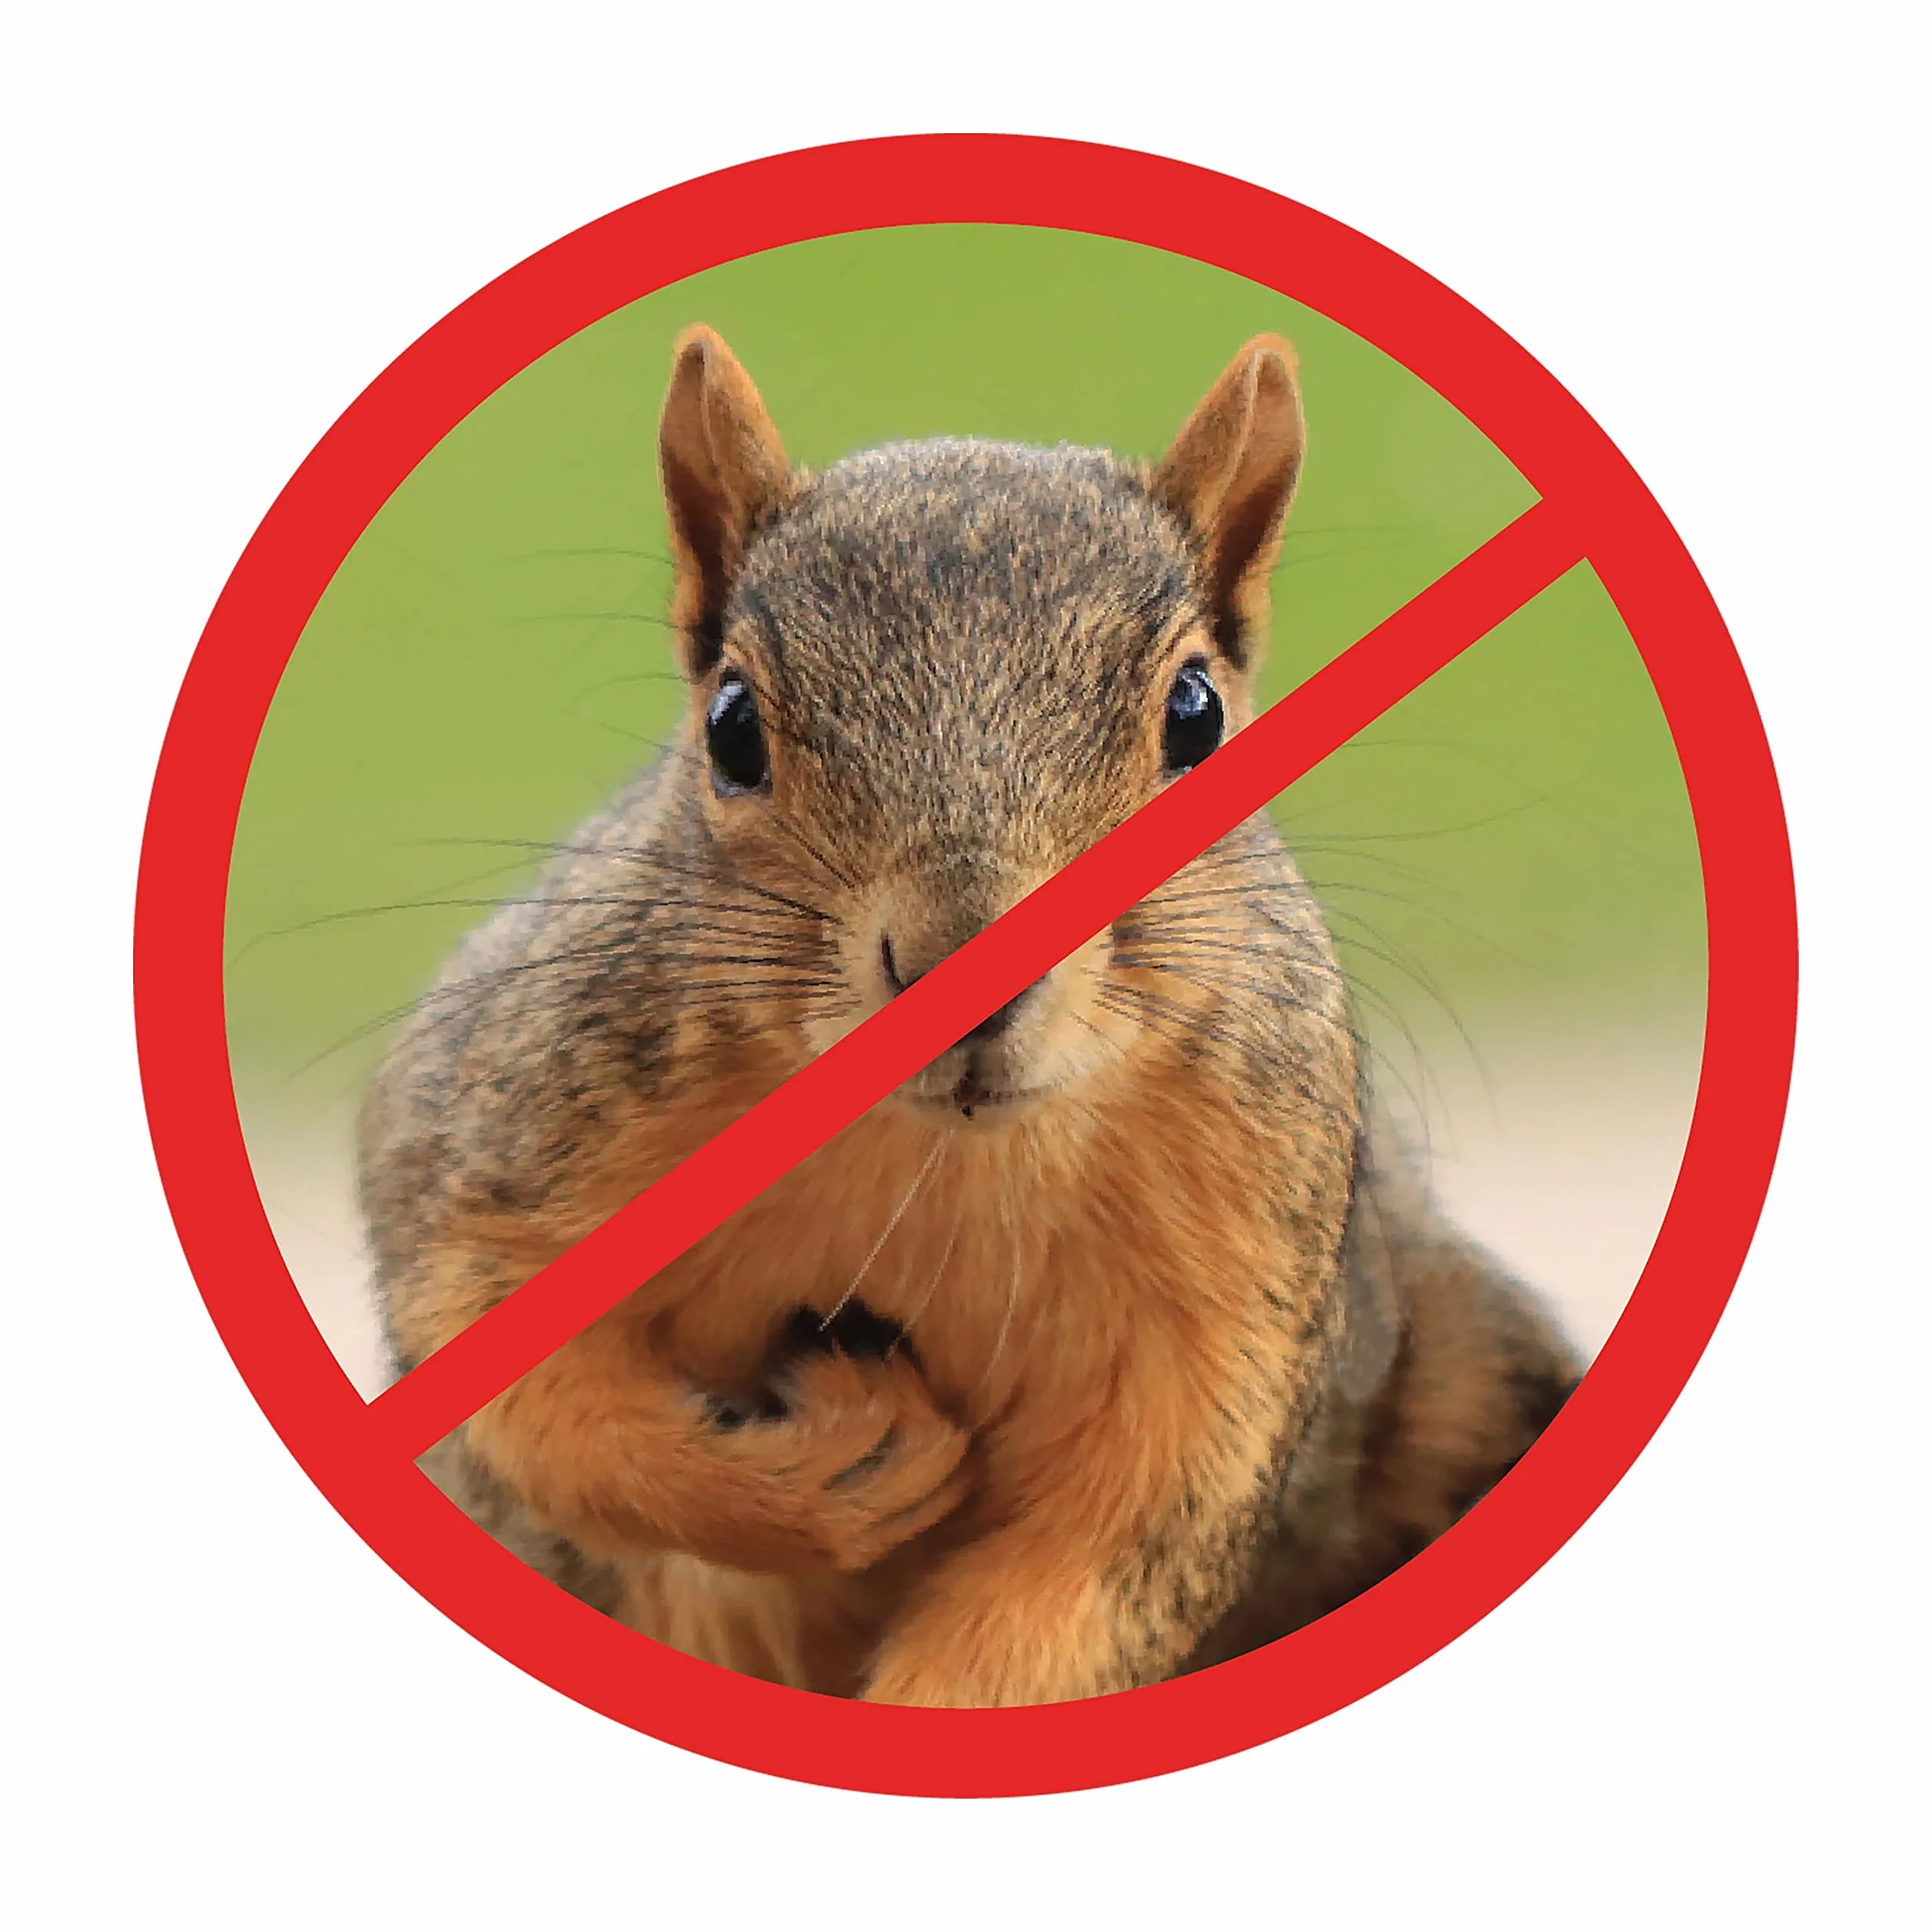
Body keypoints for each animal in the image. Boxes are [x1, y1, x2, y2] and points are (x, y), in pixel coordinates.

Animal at [357, 325, 1584, 1707]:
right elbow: (504, 1364)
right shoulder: (503, 1126)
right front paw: (834, 1465)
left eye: (1199, 715)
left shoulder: (1234, 1306)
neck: (939, 1160)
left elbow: (1090, 1569)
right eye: (731, 725)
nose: (970, 965)